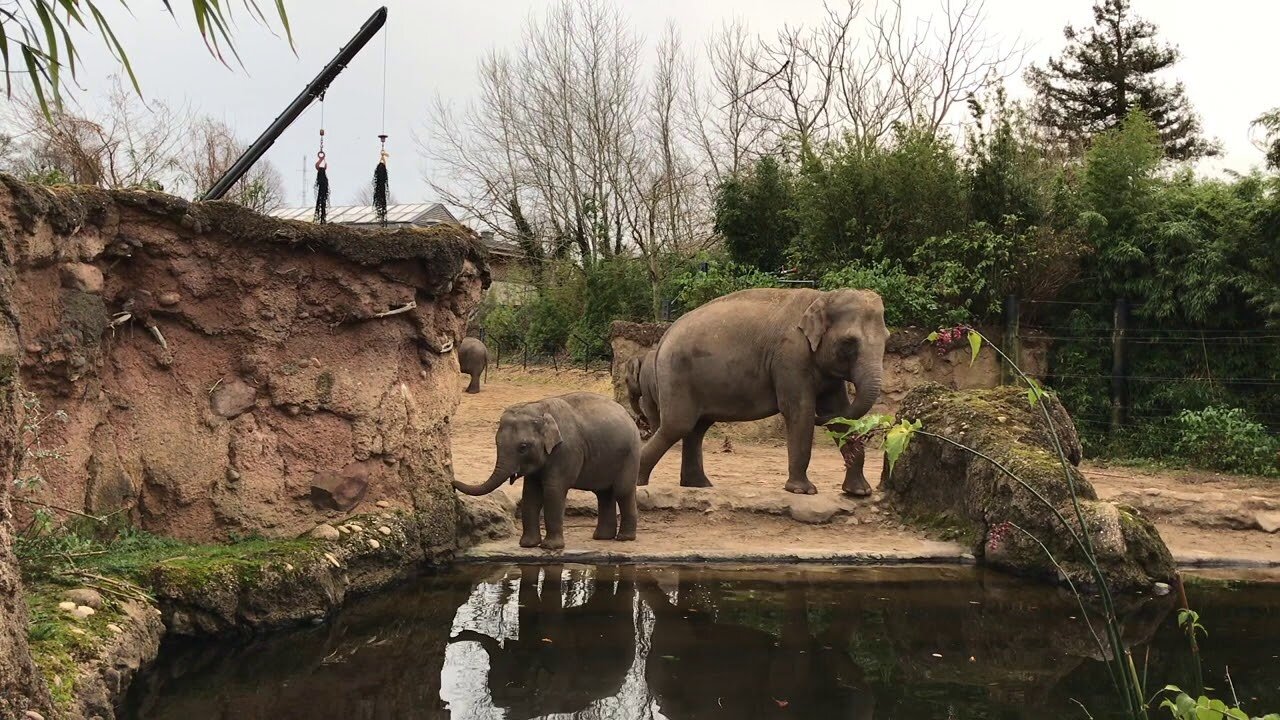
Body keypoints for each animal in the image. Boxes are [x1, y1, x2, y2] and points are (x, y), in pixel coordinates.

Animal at [450, 389, 640, 545]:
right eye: (496, 443)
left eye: (523, 447)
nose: (452, 482)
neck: (539, 407)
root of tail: (628, 416)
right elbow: (530, 493)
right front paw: (527, 545)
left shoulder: (566, 450)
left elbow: (553, 490)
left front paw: (550, 547)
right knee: (603, 494)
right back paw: (602, 537)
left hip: (630, 455)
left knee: (622, 491)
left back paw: (624, 538)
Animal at [634, 285, 885, 491]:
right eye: (849, 342)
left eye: (888, 339)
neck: (823, 297)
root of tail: (664, 337)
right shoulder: (790, 357)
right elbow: (799, 409)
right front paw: (802, 490)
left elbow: (839, 413)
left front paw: (859, 492)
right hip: (676, 375)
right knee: (678, 425)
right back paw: (638, 482)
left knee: (697, 428)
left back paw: (698, 485)